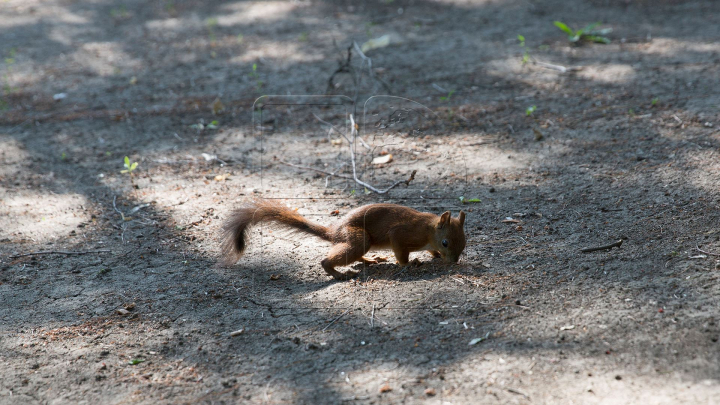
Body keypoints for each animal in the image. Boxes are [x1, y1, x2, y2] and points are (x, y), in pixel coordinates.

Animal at [221, 198, 466, 280]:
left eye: (464, 242)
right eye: (446, 242)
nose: (454, 262)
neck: (429, 230)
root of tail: (335, 232)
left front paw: (434, 256)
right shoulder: (401, 234)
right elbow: (401, 254)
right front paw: (410, 263)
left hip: (360, 243)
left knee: (357, 257)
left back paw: (370, 261)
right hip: (359, 239)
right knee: (327, 260)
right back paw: (338, 273)